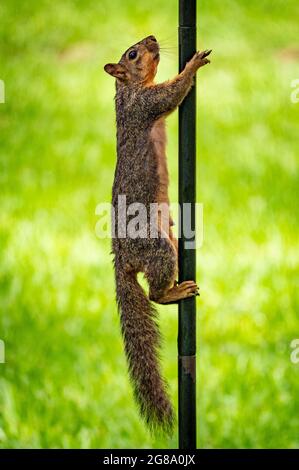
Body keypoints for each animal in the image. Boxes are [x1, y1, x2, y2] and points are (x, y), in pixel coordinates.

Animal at [104, 35, 212, 434]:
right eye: (133, 54)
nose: (151, 38)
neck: (128, 90)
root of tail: (122, 259)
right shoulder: (145, 106)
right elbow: (173, 93)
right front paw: (192, 65)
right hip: (157, 250)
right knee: (153, 294)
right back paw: (173, 292)